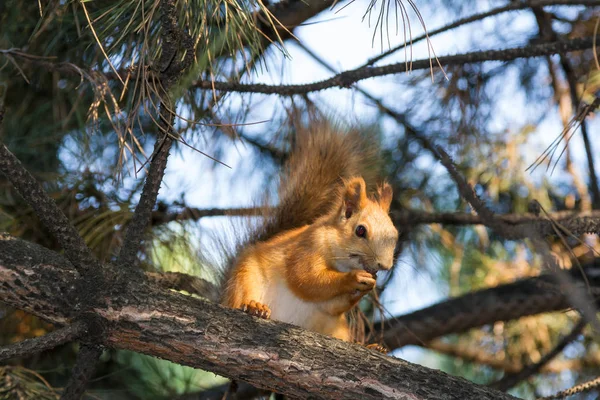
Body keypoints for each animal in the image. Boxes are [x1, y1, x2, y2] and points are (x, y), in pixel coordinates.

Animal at [220, 120, 398, 346]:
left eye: (395, 234)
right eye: (360, 230)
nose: (385, 265)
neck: (341, 260)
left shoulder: (330, 306)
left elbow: (332, 304)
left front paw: (367, 287)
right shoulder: (306, 246)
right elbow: (306, 279)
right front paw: (353, 278)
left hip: (337, 327)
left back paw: (372, 346)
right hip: (246, 278)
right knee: (242, 296)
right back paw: (253, 307)